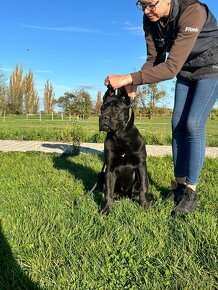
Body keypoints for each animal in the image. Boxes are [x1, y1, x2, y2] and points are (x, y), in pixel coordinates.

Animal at [98, 85, 150, 214]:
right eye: (102, 108)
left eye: (116, 108)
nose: (103, 118)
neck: (121, 137)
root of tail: (126, 194)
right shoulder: (110, 168)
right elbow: (108, 192)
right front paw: (106, 209)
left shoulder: (141, 165)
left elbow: (143, 188)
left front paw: (144, 205)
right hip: (101, 175)